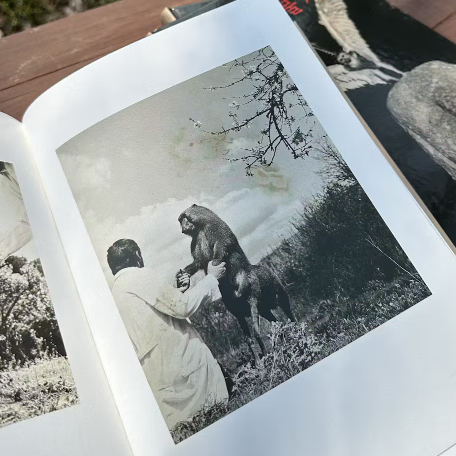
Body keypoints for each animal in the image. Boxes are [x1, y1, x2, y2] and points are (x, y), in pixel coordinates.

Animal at [176, 205, 294, 366]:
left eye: (184, 218)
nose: (183, 228)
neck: (200, 229)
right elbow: (199, 262)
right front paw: (183, 277)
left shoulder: (216, 230)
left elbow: (221, 249)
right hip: (258, 307)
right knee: (273, 322)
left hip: (267, 288)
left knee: (284, 309)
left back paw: (294, 329)